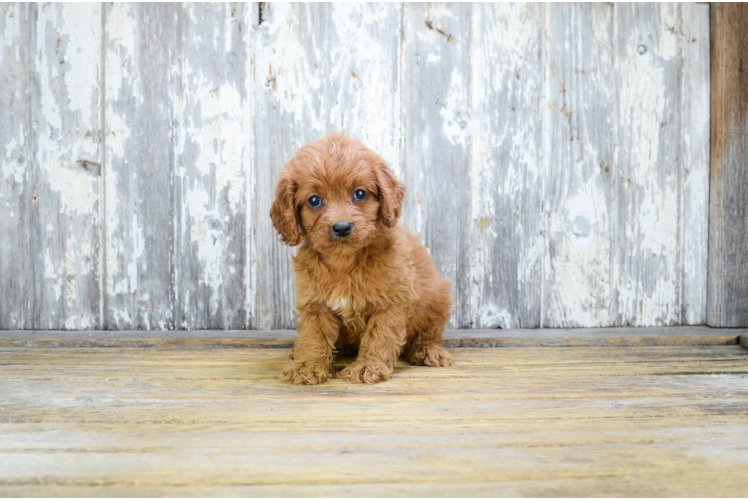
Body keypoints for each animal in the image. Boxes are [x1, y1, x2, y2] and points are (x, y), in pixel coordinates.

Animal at [270, 135, 452, 384]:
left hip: (436, 299)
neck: (345, 261)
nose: (341, 227)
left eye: (360, 194)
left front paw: (368, 367)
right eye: (314, 200)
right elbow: (314, 337)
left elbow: (380, 336)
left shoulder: (391, 301)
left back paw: (428, 351)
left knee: (427, 334)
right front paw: (306, 366)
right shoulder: (314, 303)